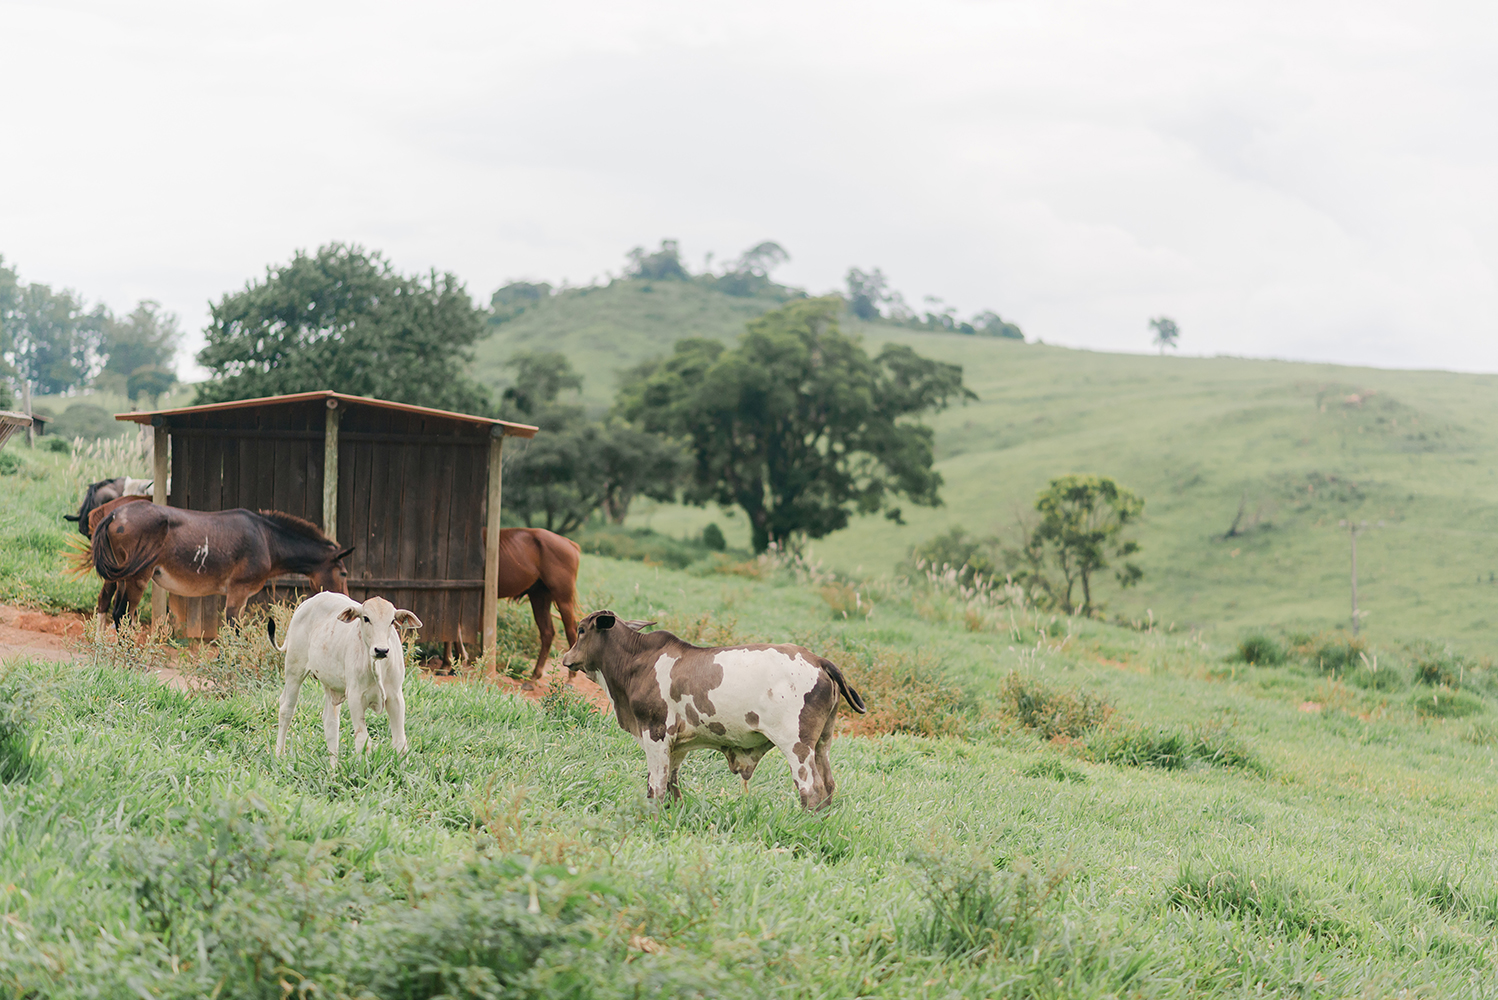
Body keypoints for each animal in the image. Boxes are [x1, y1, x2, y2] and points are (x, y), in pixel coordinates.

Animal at [89, 502, 353, 628]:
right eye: (343, 573)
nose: (347, 603)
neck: (267, 540)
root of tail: (114, 514)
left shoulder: (243, 595)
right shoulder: (238, 589)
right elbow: (232, 626)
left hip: (120, 577)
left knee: (111, 608)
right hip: (137, 577)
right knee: (122, 613)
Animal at [274, 592, 422, 766]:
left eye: (392, 621)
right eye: (366, 618)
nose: (381, 650)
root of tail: (307, 603)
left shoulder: (396, 697)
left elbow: (400, 741)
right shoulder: (355, 698)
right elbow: (363, 740)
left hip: (330, 684)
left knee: (330, 721)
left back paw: (333, 767)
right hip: (294, 670)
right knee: (286, 709)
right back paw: (279, 755)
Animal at [497, 526, 578, 682]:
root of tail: (569, 543)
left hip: (563, 598)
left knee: (571, 631)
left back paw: (571, 678)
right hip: (539, 596)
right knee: (547, 632)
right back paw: (535, 675)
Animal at [560, 610, 868, 814]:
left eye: (581, 629)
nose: (565, 658)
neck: (638, 662)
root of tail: (818, 659)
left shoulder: (655, 734)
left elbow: (655, 787)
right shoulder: (677, 746)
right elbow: (671, 785)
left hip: (797, 746)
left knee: (812, 790)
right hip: (822, 743)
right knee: (828, 786)